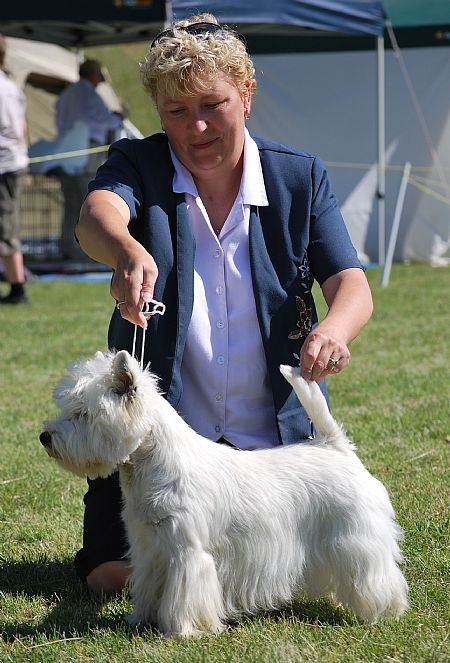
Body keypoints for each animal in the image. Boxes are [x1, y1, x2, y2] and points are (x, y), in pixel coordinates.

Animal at [40, 352, 410, 640]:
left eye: (83, 414)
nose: (45, 437)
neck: (148, 465)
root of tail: (335, 447)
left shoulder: (187, 551)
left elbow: (185, 594)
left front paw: (181, 631)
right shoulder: (148, 547)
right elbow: (148, 587)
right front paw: (141, 618)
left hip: (354, 535)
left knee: (375, 573)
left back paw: (384, 609)